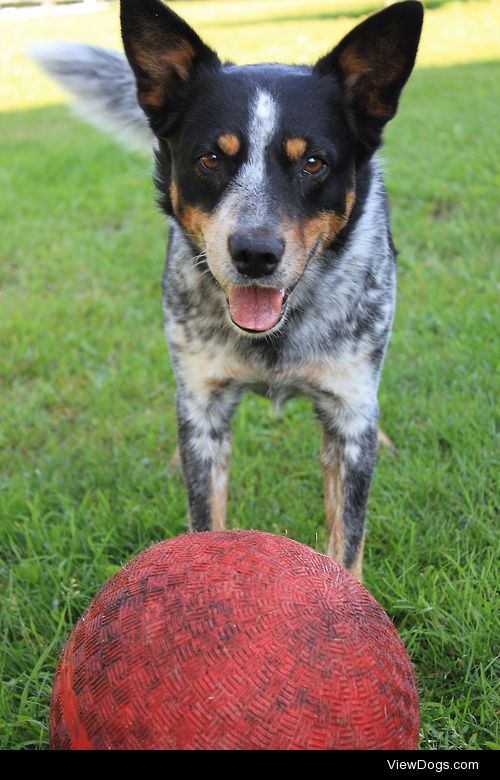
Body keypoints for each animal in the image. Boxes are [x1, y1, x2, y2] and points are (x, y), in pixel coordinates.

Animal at [30, 1, 422, 580]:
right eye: (211, 158)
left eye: (313, 162)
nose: (255, 253)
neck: (275, 338)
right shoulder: (205, 404)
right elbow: (204, 515)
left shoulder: (349, 414)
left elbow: (348, 538)